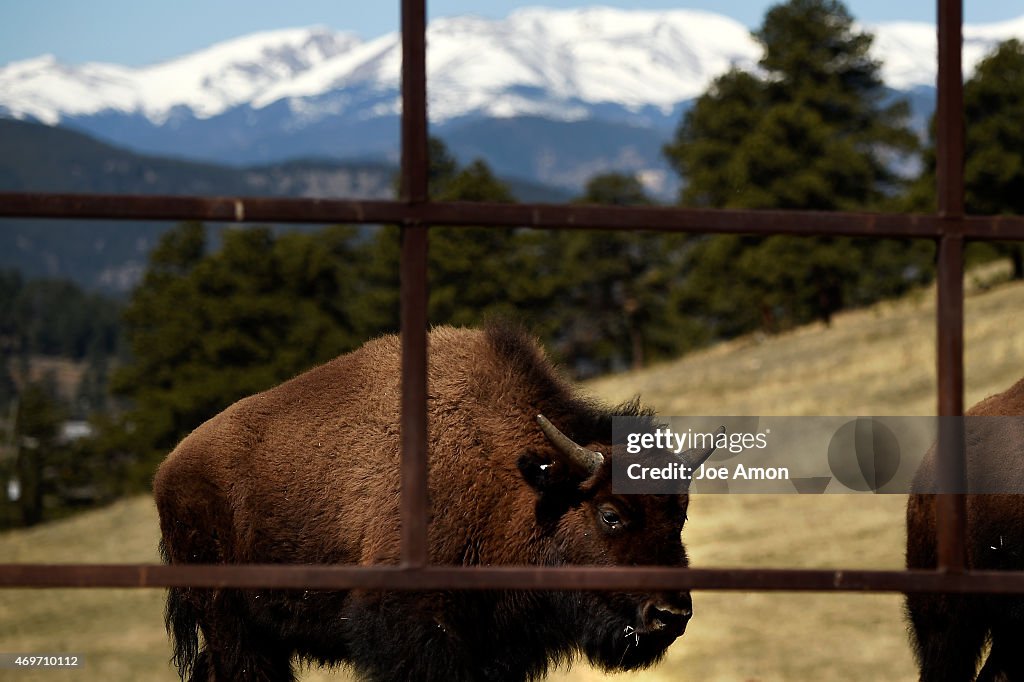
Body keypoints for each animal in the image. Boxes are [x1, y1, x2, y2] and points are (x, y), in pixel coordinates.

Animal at [155, 325, 716, 679]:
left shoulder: (500, 646)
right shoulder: (415, 634)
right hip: (232, 625)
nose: (671, 614)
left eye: (680, 515)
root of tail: (170, 469)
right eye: (610, 514)